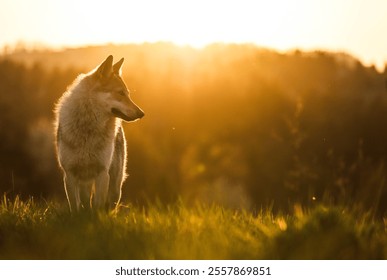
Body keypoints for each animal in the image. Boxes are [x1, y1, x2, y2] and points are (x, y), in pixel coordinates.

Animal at [54, 55, 144, 212]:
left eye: (128, 94)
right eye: (121, 93)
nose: (142, 113)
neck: (89, 128)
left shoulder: (102, 173)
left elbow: (98, 206)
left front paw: (97, 217)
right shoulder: (70, 174)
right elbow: (75, 207)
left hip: (115, 186)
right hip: (85, 182)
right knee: (85, 201)